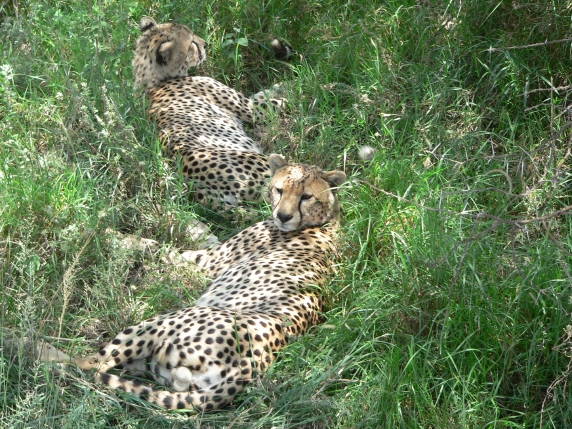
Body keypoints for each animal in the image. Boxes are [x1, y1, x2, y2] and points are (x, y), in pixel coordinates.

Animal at [38, 154, 346, 412]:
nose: (283, 216)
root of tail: (250, 367)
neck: (325, 221)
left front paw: (107, 233)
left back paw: (35, 349)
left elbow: (157, 247)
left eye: (306, 196)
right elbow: (194, 233)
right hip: (159, 369)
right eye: (279, 189)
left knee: (89, 364)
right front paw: (184, 219)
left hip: (162, 322)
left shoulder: (207, 264)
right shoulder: (211, 252)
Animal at [133, 16, 288, 208]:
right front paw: (302, 84)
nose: (205, 44)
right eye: (191, 42)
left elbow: (266, 92)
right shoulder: (251, 109)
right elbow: (281, 98)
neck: (150, 81)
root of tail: (198, 189)